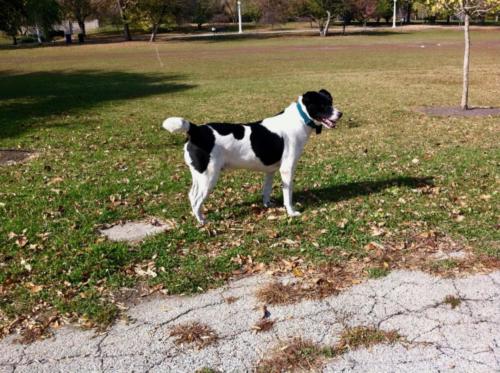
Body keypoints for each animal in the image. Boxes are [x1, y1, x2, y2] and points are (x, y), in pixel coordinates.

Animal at [162, 89, 342, 224]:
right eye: (323, 105)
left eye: (331, 102)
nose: (340, 114)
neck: (299, 119)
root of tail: (196, 131)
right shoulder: (287, 169)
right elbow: (288, 193)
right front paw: (291, 212)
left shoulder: (271, 170)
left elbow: (266, 190)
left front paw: (268, 205)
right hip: (209, 177)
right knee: (196, 198)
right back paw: (202, 221)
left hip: (199, 175)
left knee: (191, 195)